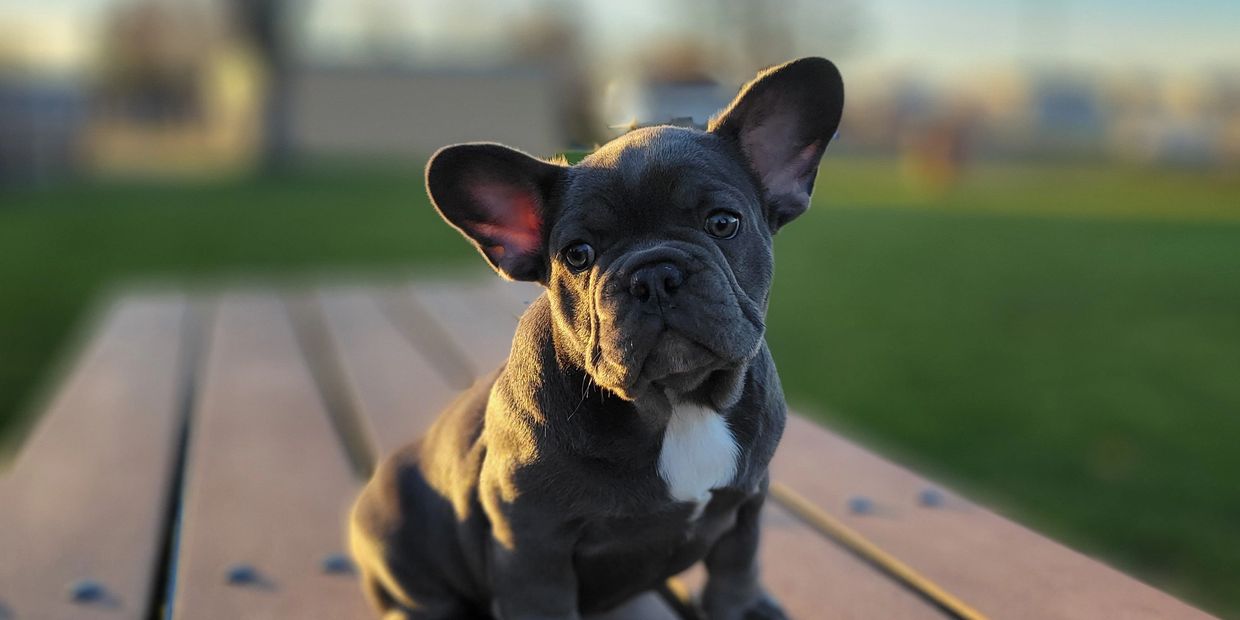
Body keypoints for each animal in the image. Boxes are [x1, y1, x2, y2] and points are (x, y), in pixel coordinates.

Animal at [354, 58, 848, 620]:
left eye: (724, 223)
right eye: (578, 255)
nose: (653, 274)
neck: (680, 403)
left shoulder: (746, 504)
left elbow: (735, 571)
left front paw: (743, 607)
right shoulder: (532, 546)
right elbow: (544, 603)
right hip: (399, 538)